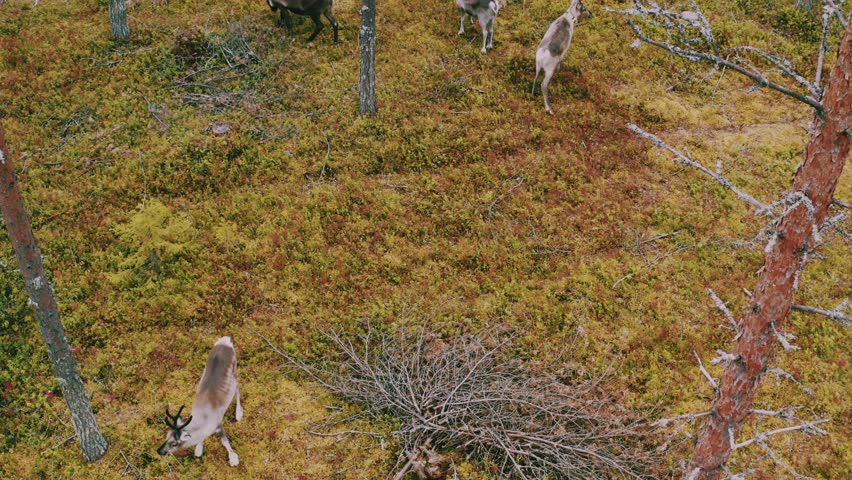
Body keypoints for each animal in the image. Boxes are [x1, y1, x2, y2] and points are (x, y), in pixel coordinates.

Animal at [157, 336, 244, 467]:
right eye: (166, 436)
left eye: (174, 443)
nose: (159, 451)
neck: (203, 418)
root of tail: (226, 341)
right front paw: (198, 449)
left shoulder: (219, 423)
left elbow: (225, 442)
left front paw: (233, 459)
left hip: (234, 369)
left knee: (238, 387)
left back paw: (238, 413)